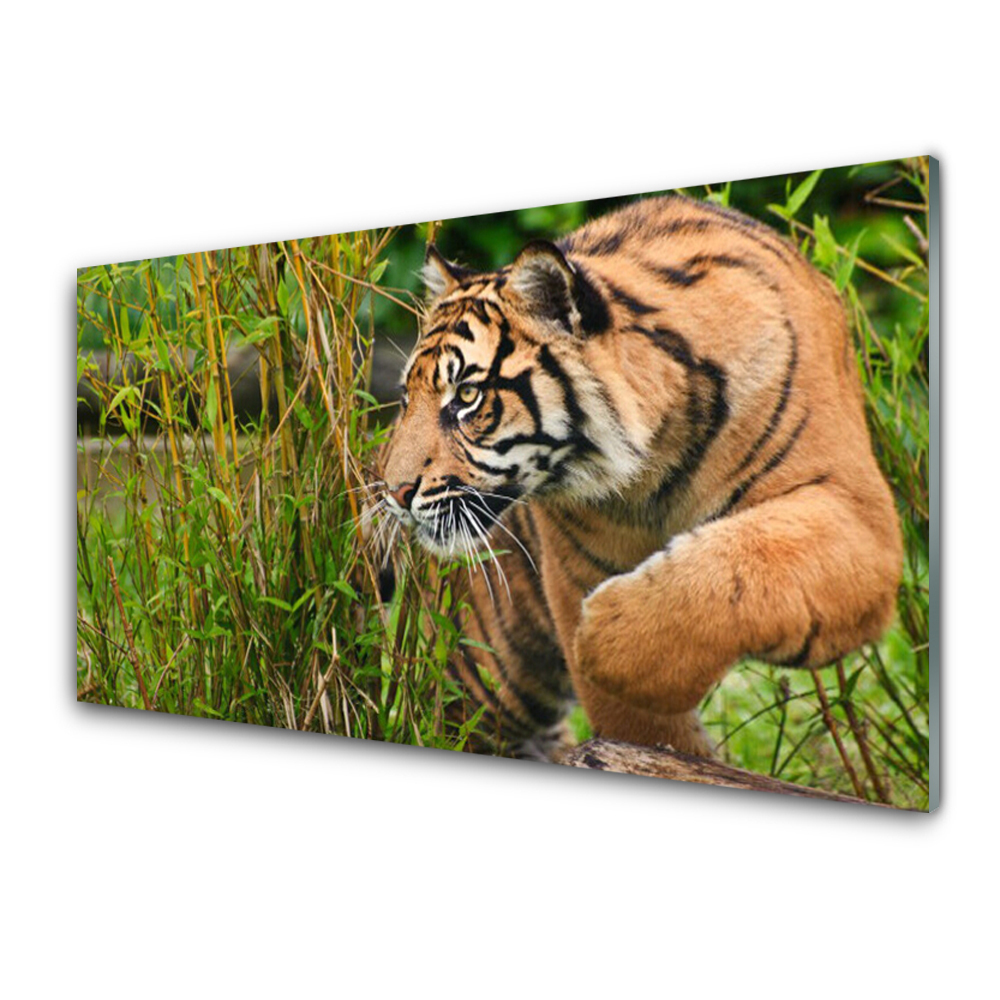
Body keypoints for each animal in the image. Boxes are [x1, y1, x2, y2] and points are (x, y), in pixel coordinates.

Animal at [376, 194, 903, 761]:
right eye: (406, 398)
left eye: (468, 396)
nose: (393, 492)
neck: (654, 461)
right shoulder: (578, 572)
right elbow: (638, 724)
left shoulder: (856, 515)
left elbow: (738, 564)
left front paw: (602, 640)